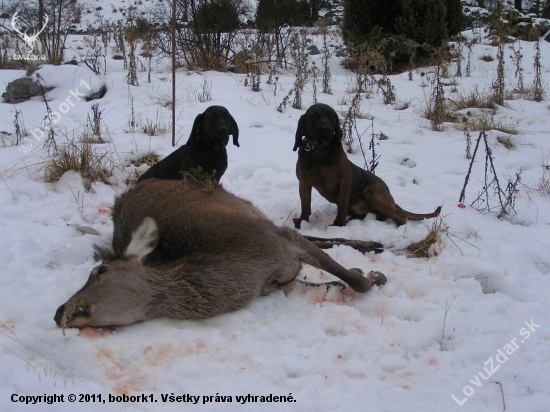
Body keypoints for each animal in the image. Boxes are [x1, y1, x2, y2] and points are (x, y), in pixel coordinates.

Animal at [294, 101, 444, 227]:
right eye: (314, 116)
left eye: (331, 116)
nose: (327, 129)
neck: (319, 151)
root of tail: (393, 203)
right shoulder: (304, 182)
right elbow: (305, 205)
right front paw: (302, 221)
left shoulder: (345, 180)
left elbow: (342, 204)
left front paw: (339, 224)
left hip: (372, 192)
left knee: (400, 219)